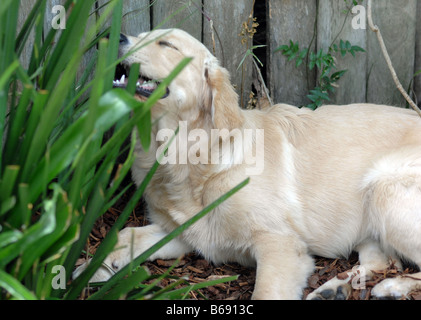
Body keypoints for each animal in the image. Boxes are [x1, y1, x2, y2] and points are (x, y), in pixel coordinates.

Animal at [74, 28, 420, 300]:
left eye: (167, 44)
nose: (112, 36)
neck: (189, 156)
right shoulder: (180, 232)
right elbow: (121, 236)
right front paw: (88, 271)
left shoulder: (280, 244)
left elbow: (265, 291)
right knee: (383, 261)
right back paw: (333, 289)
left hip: (383, 186)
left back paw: (392, 288)